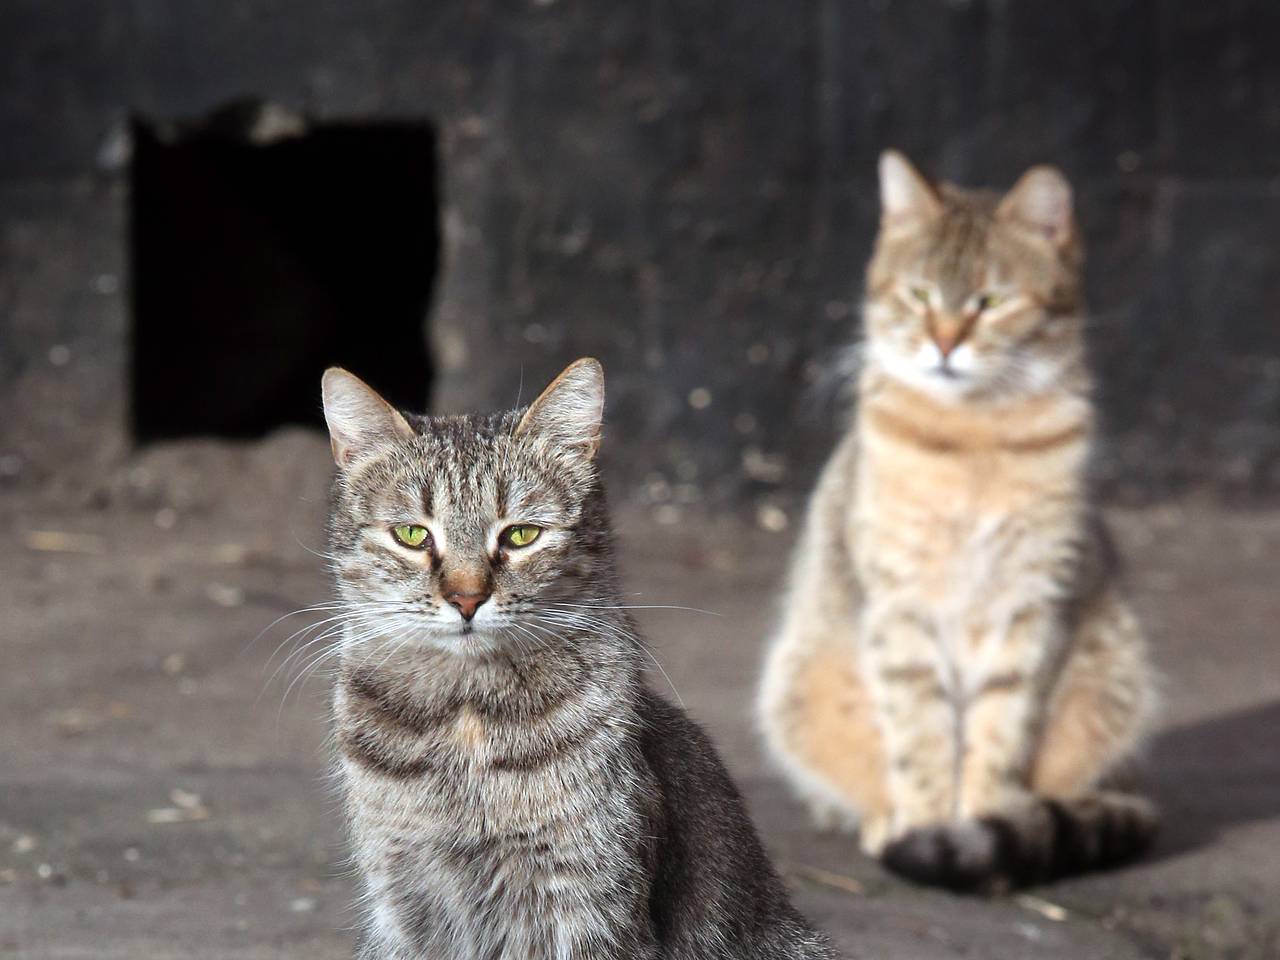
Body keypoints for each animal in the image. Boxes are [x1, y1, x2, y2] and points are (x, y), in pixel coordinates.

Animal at [320, 360, 839, 960]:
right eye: (411, 534)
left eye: (522, 534)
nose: (467, 599)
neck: (465, 721)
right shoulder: (400, 902)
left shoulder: (590, 900)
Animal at [757, 152, 1162, 896]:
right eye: (920, 295)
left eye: (990, 303)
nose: (944, 344)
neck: (974, 442)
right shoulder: (901, 607)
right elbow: (919, 734)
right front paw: (921, 826)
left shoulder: (1031, 604)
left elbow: (997, 735)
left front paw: (979, 824)